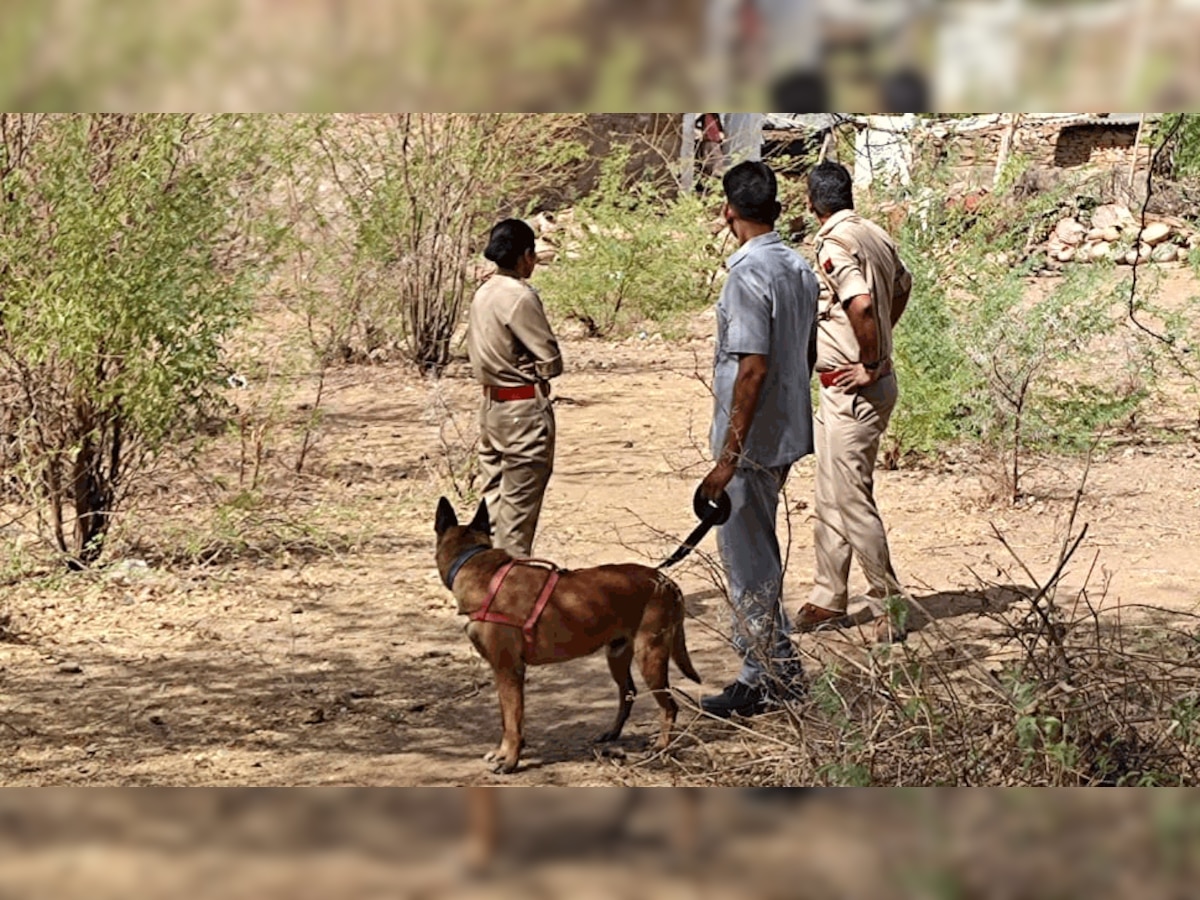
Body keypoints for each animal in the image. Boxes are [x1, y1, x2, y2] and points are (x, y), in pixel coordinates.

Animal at [434, 501, 700, 777]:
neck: (476, 563)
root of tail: (666, 581)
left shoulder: (509, 671)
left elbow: (512, 721)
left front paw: (510, 760)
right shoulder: (502, 672)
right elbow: (506, 720)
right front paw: (503, 753)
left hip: (650, 656)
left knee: (669, 706)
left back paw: (661, 746)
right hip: (617, 656)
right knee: (628, 693)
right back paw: (613, 732)